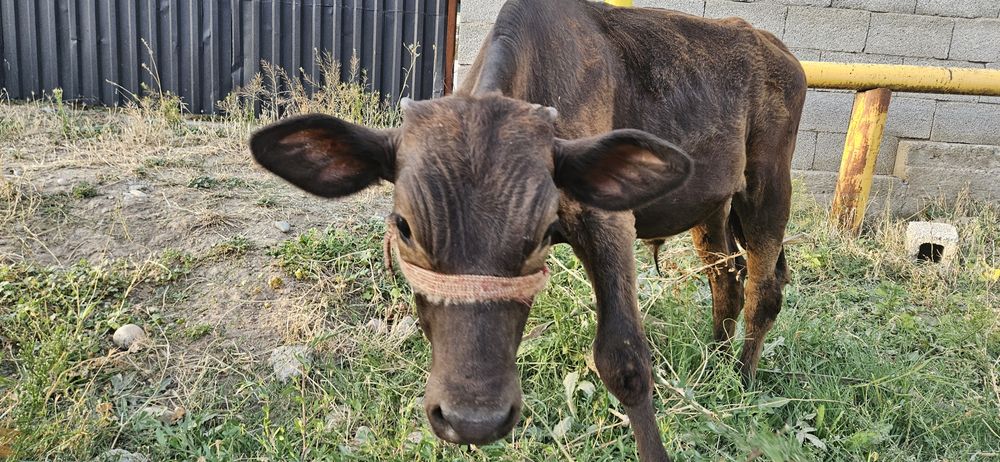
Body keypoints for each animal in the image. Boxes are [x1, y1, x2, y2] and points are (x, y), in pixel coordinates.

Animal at [248, 0, 806, 459]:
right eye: (404, 227)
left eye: (541, 232)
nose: (475, 419)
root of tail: (771, 42)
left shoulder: (609, 219)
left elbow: (624, 362)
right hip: (711, 204)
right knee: (725, 277)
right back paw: (715, 364)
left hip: (767, 185)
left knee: (763, 288)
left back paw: (742, 379)